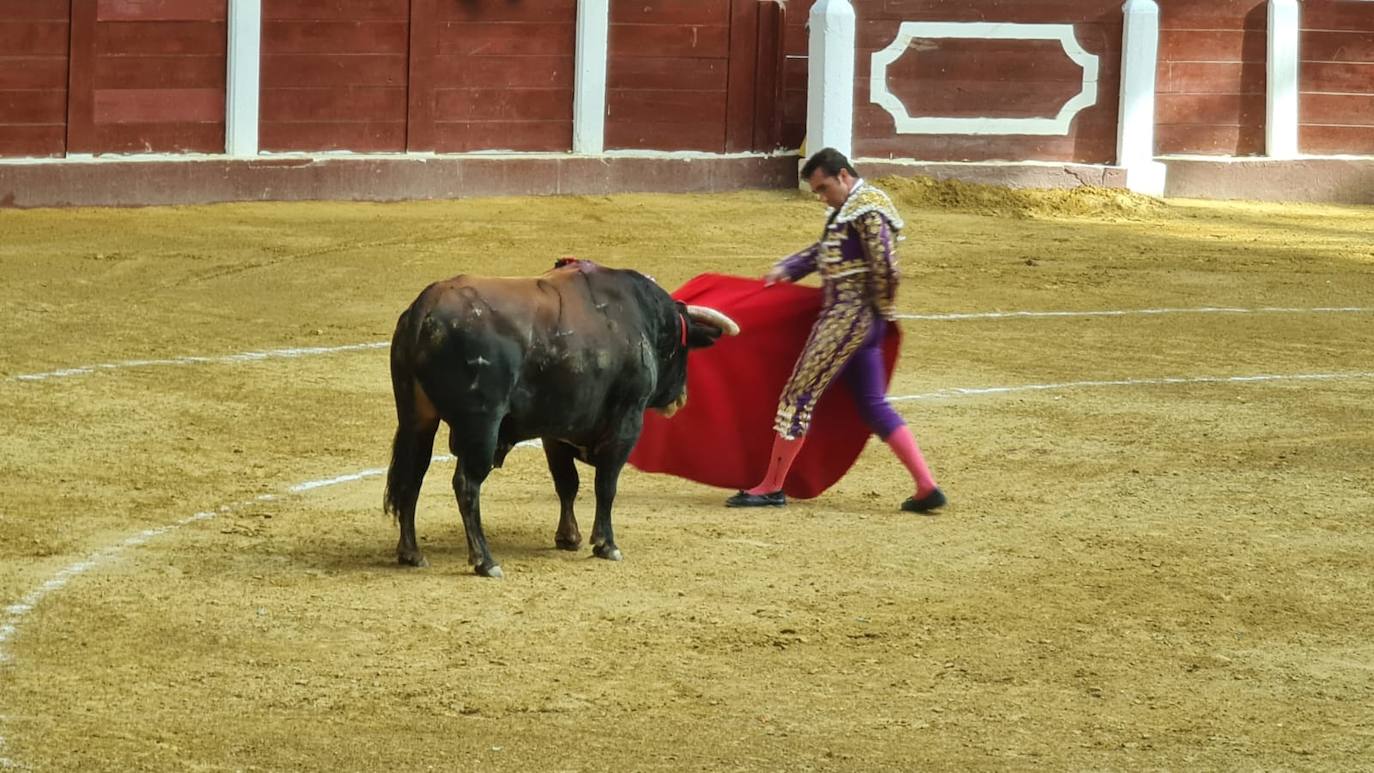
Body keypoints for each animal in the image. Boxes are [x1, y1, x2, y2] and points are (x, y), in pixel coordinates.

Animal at [376, 256, 741, 576]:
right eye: (685, 350)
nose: (681, 398)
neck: (641, 320)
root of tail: (425, 308)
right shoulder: (626, 421)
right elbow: (605, 484)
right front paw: (606, 544)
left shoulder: (555, 431)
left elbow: (567, 483)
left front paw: (569, 537)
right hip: (481, 425)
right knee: (466, 484)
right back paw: (485, 561)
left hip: (417, 420)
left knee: (413, 475)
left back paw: (411, 553)